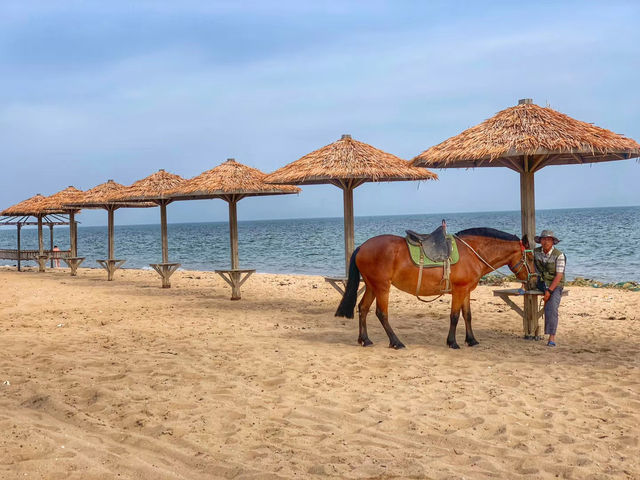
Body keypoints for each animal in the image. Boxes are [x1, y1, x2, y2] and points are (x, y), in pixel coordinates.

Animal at [336, 228, 536, 348]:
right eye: (532, 258)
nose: (534, 280)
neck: (472, 253)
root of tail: (362, 247)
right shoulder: (459, 291)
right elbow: (455, 316)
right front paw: (452, 342)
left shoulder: (466, 291)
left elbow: (467, 316)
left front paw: (471, 340)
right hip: (382, 287)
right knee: (381, 313)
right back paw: (396, 342)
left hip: (371, 286)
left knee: (363, 309)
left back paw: (365, 339)